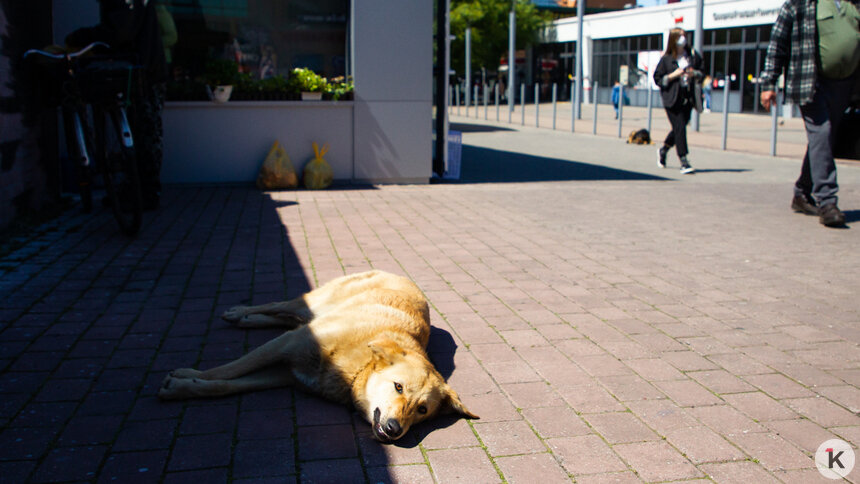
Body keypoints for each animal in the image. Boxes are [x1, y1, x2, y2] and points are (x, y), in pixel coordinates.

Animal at [160, 270, 478, 440]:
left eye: (422, 410)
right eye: (398, 387)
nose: (393, 429)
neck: (355, 369)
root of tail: (401, 275)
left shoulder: (284, 373)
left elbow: (224, 385)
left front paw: (184, 386)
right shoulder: (286, 346)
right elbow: (228, 370)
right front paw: (188, 376)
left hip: (307, 317)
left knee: (285, 318)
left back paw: (249, 320)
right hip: (311, 304)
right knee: (280, 306)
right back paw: (241, 312)